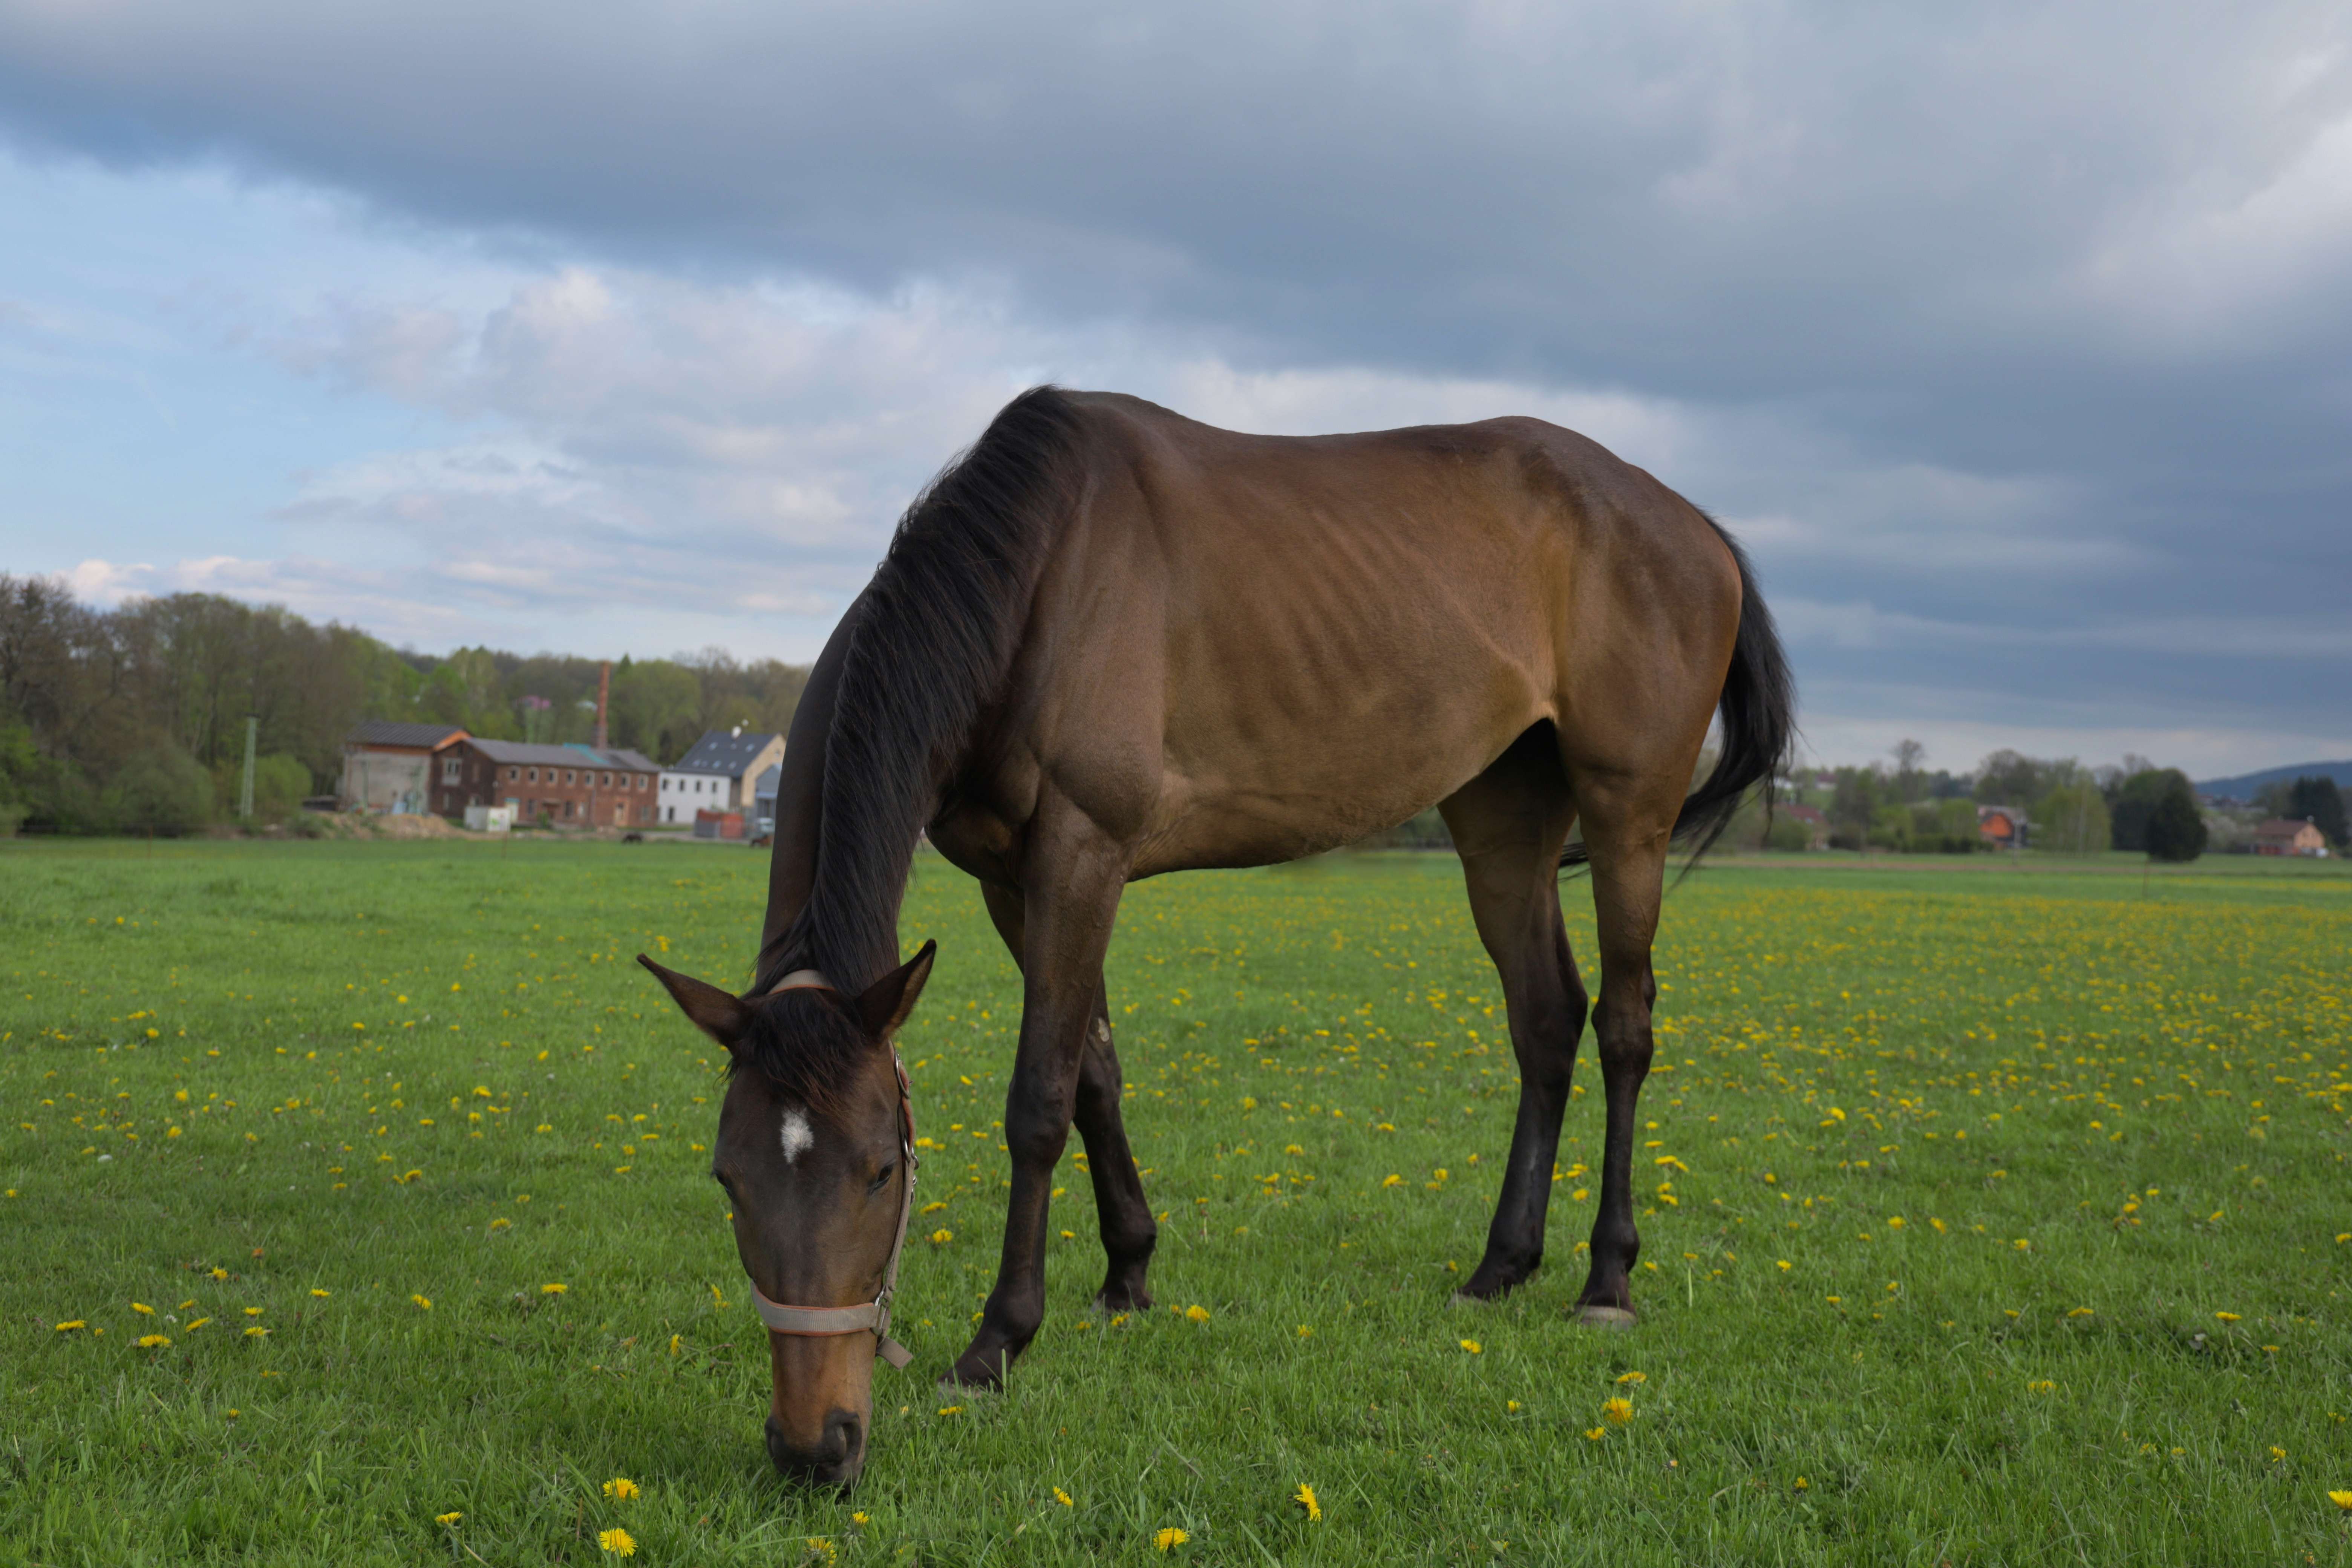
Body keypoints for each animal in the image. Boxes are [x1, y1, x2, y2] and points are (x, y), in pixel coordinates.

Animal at [635, 385, 1787, 1495]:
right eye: (729, 1178)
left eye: (882, 1170)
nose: (813, 1446)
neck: (1035, 574)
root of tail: (1693, 528)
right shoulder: (1018, 881)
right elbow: (1094, 1074)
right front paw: (1127, 1275)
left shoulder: (1081, 853)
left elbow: (1039, 1101)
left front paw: (998, 1342)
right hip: (1504, 816)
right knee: (1546, 1021)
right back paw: (1500, 1267)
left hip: (1628, 812)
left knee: (1625, 1029)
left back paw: (1607, 1277)